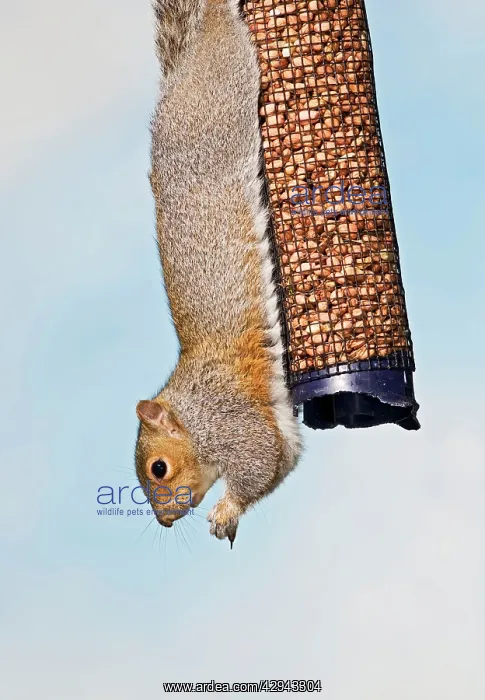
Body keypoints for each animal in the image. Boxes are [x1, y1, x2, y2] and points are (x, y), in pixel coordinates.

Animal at [135, 0, 302, 546]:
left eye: (159, 469)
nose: (166, 521)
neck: (190, 411)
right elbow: (283, 461)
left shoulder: (229, 422)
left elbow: (258, 463)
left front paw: (225, 510)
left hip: (225, 93)